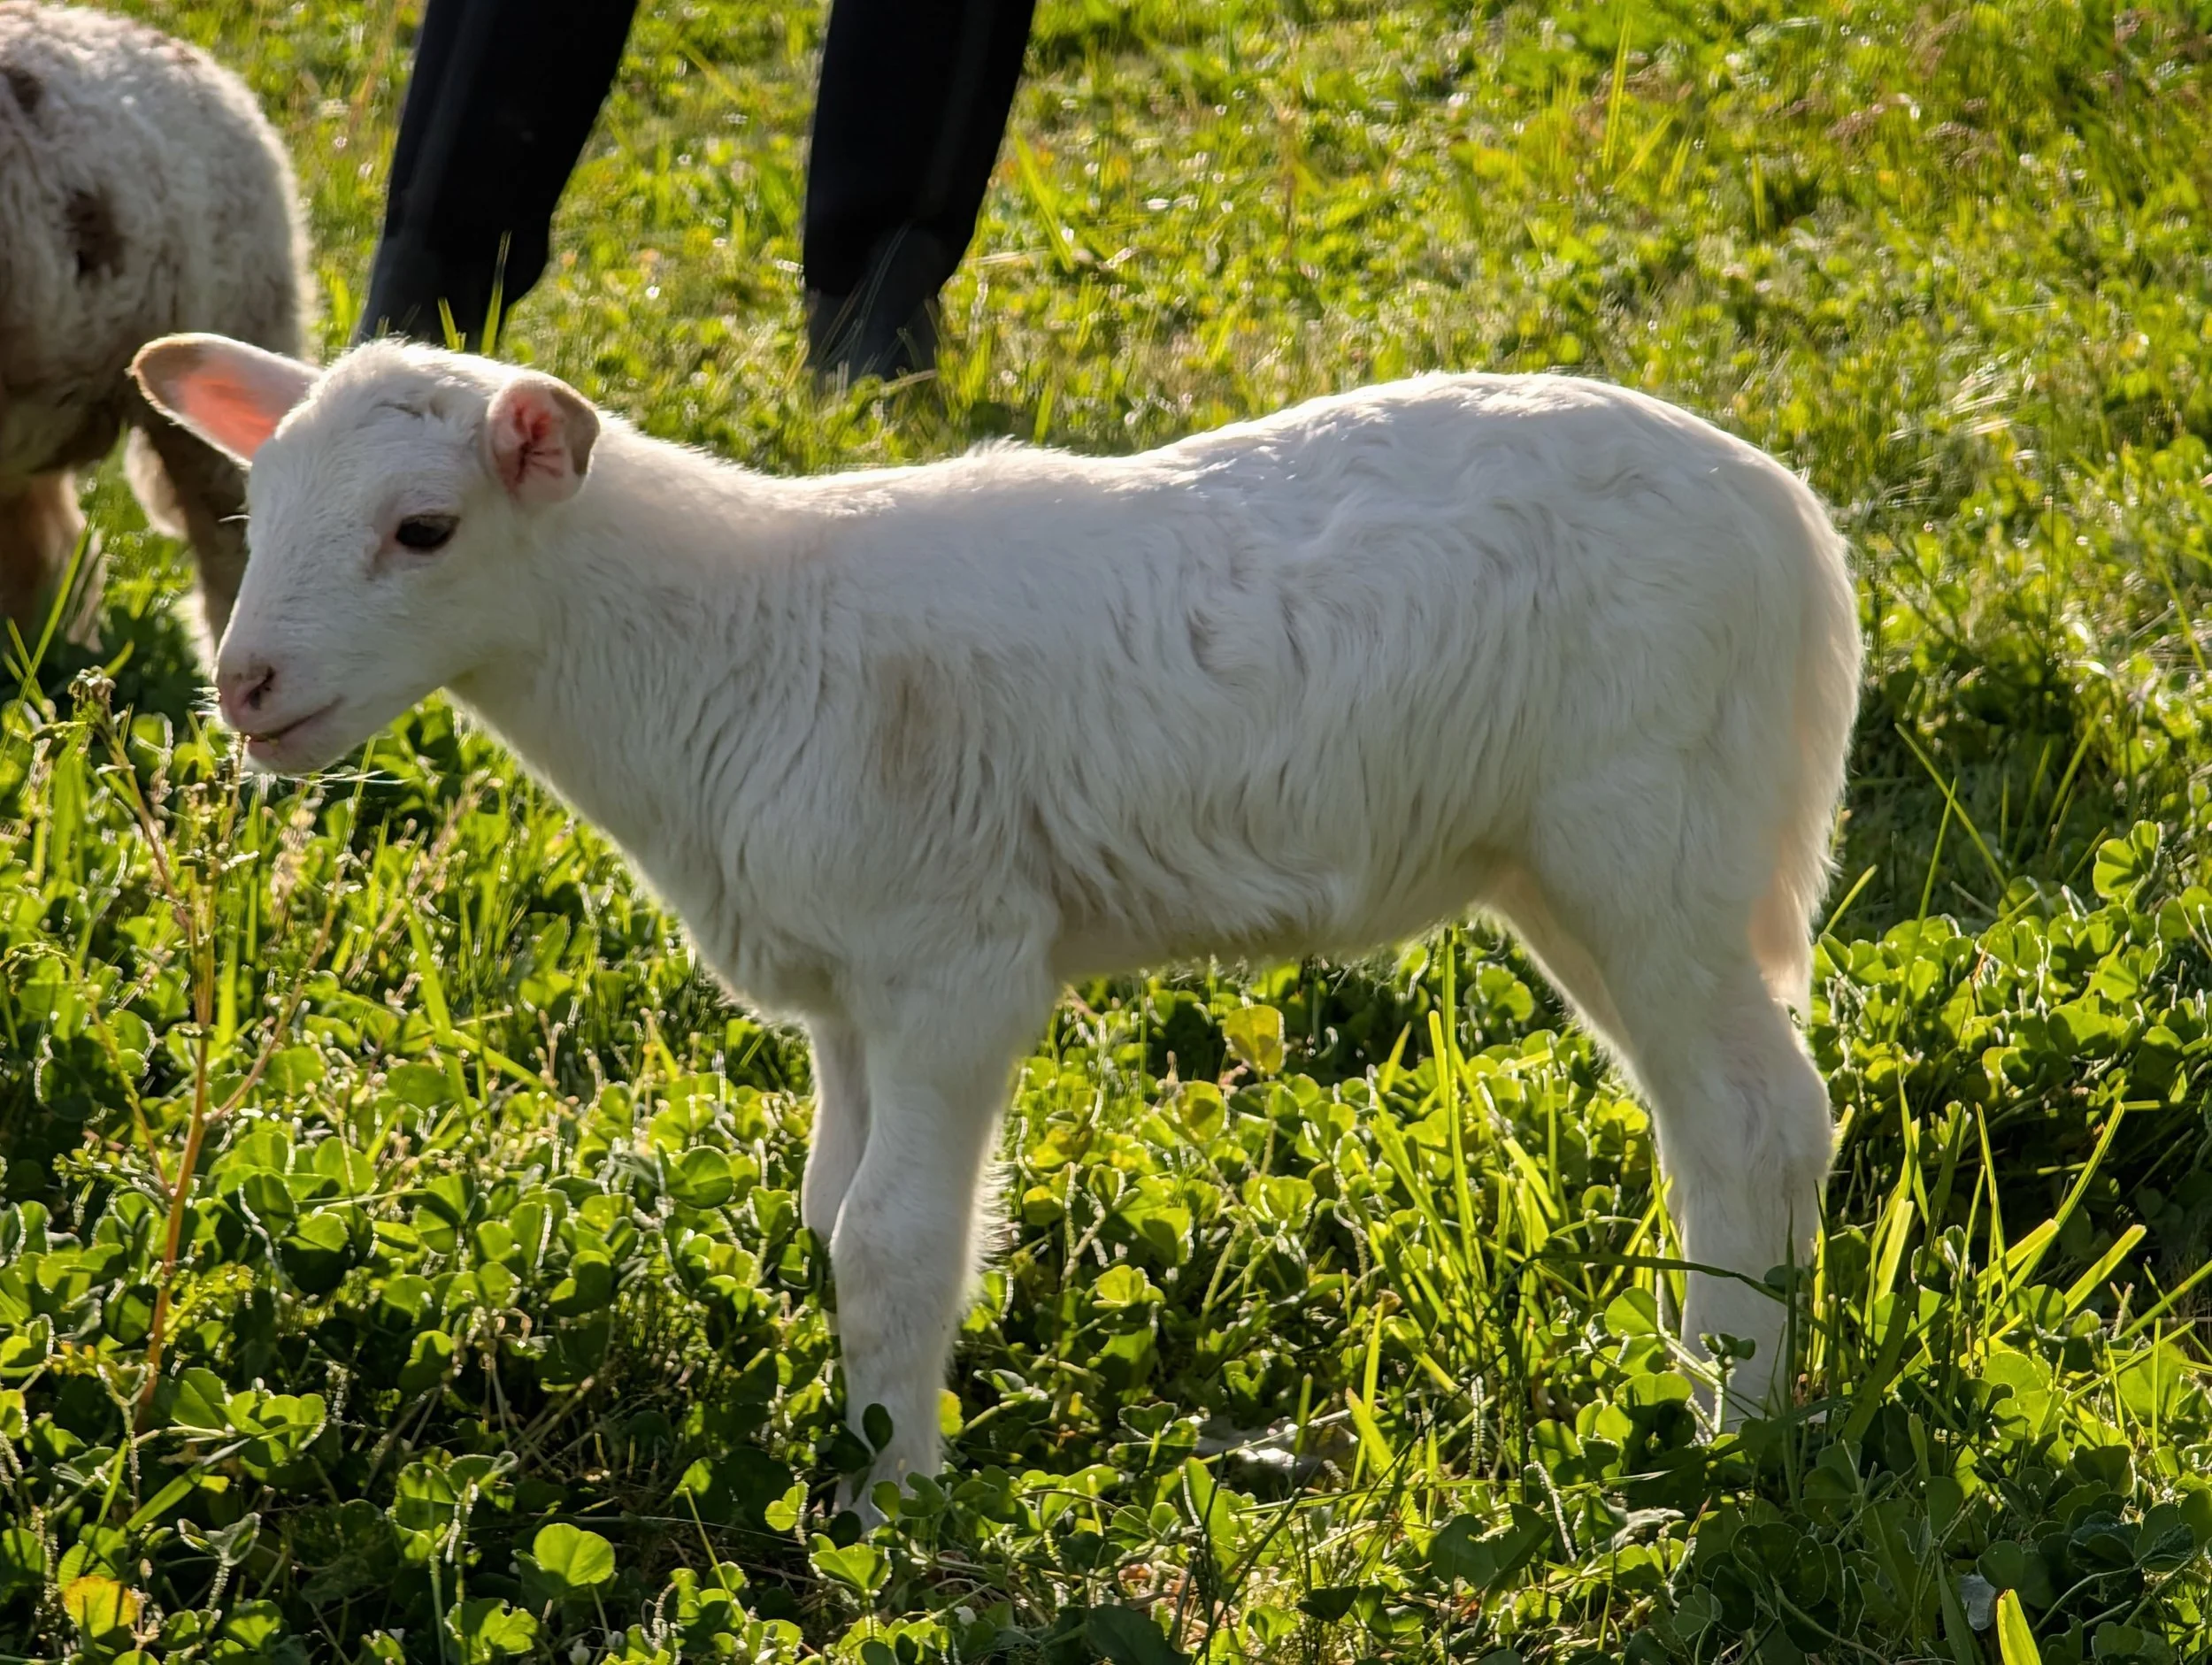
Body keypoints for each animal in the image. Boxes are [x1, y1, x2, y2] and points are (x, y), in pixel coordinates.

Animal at [131, 331, 1863, 1515]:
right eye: (255, 504)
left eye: (422, 529)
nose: (248, 688)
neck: (725, 640)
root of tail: (1791, 520)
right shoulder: (840, 985)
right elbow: (828, 1214)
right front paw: (858, 1444)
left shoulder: (951, 957)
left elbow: (897, 1241)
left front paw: (891, 1502)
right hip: (1565, 863)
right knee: (1716, 1117)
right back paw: (1719, 1362)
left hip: (1650, 830)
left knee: (1757, 1115)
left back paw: (1740, 1418)